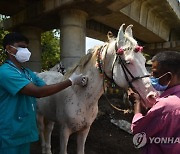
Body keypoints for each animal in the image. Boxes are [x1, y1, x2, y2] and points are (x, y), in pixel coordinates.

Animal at [37, 24, 157, 154]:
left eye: (144, 61)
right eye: (128, 62)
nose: (152, 96)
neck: (81, 96)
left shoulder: (85, 130)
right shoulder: (64, 131)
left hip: (49, 116)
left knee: (48, 131)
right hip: (39, 116)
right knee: (42, 131)